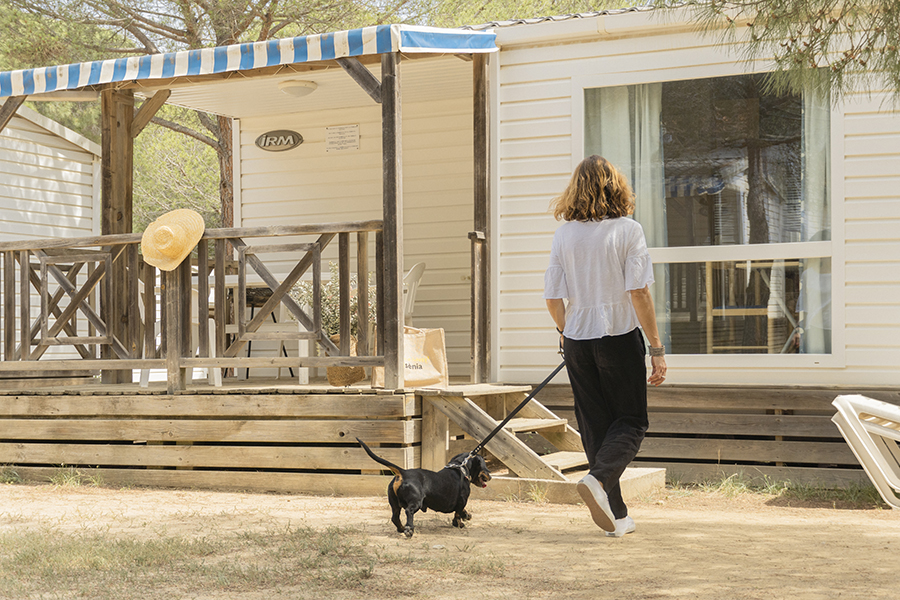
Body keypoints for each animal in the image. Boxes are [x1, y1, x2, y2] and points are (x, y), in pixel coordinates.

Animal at [356, 436, 492, 540]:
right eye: (485, 466)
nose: (490, 476)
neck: (461, 468)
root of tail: (403, 473)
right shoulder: (462, 499)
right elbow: (457, 514)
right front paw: (459, 524)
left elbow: (462, 511)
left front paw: (467, 515)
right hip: (416, 502)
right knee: (408, 511)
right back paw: (409, 530)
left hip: (394, 503)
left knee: (395, 517)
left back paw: (401, 529)